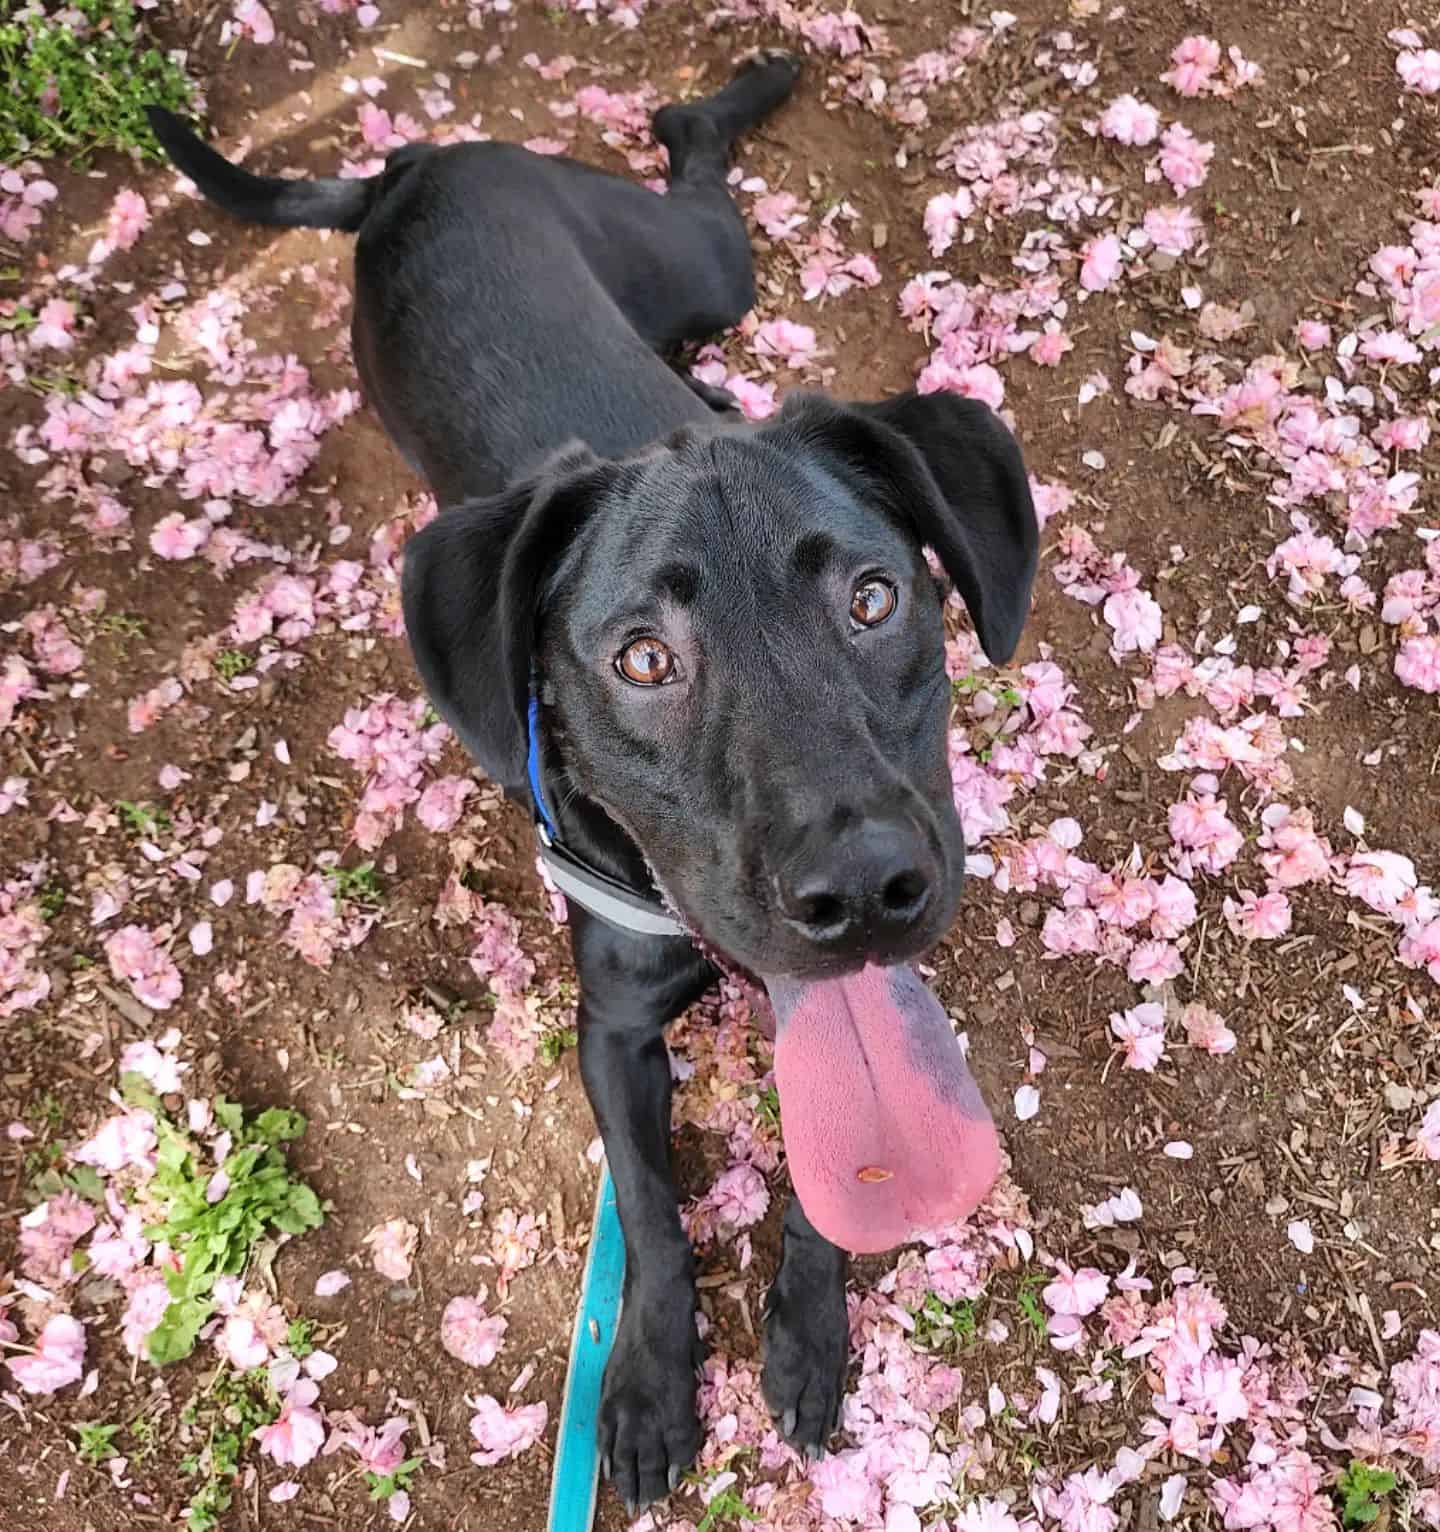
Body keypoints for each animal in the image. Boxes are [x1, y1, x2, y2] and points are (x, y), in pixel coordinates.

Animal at [151, 54, 1041, 1513]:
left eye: (874, 596)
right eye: (641, 660)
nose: (866, 886)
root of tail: (411, 162)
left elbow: (830, 1177)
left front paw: (809, 1331)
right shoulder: (613, 1025)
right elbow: (654, 1212)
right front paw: (646, 1380)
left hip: (697, 268)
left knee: (691, 156)